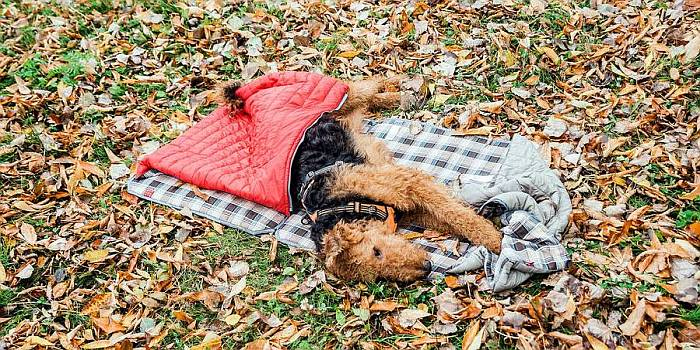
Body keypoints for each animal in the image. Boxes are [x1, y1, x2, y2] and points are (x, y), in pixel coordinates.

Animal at [221, 76, 500, 282]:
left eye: (376, 251)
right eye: (378, 275)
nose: (427, 267)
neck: (341, 204)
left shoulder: (406, 183)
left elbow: (459, 216)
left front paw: (496, 242)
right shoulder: (410, 210)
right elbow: (451, 218)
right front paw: (489, 218)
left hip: (338, 96)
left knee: (367, 83)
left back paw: (403, 89)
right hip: (344, 112)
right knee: (365, 101)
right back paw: (402, 97)